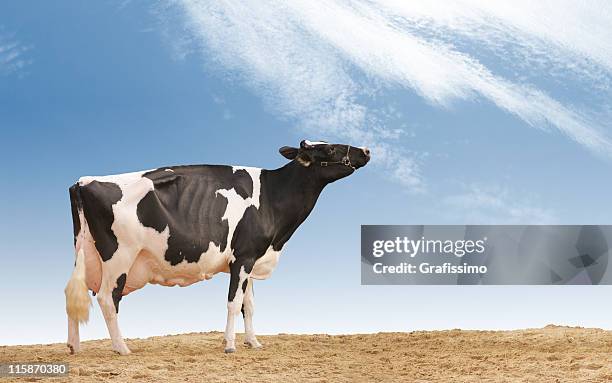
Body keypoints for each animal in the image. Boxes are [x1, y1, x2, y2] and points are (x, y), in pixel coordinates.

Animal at [63, 140, 368, 356]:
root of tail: (84, 180)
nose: (365, 150)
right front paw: (230, 345)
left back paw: (74, 347)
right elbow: (234, 302)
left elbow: (249, 304)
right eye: (329, 147)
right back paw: (122, 348)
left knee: (74, 293)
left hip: (85, 252)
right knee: (107, 298)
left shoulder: (252, 257)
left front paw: (253, 342)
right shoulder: (243, 257)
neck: (273, 197)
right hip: (119, 256)